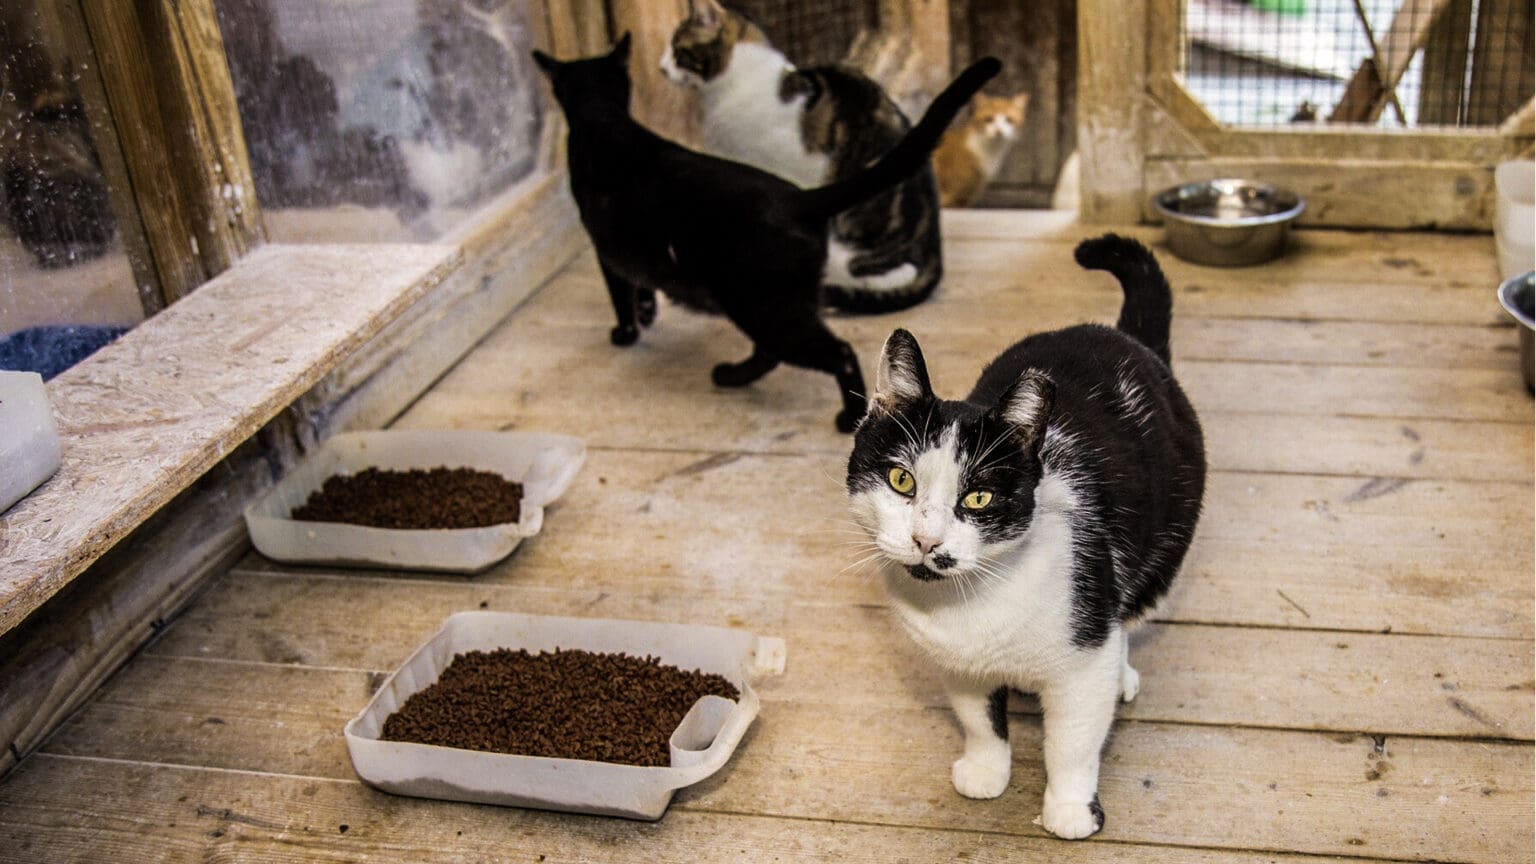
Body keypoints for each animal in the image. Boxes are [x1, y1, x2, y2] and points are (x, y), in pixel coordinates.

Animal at [847, 233, 1204, 836]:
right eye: (901, 480)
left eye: (978, 498)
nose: (926, 541)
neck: (969, 604)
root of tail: (1125, 337)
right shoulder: (959, 666)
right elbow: (979, 721)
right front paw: (986, 772)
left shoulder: (1082, 661)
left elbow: (1071, 743)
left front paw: (1069, 809)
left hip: (1165, 545)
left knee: (1128, 611)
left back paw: (1123, 672)